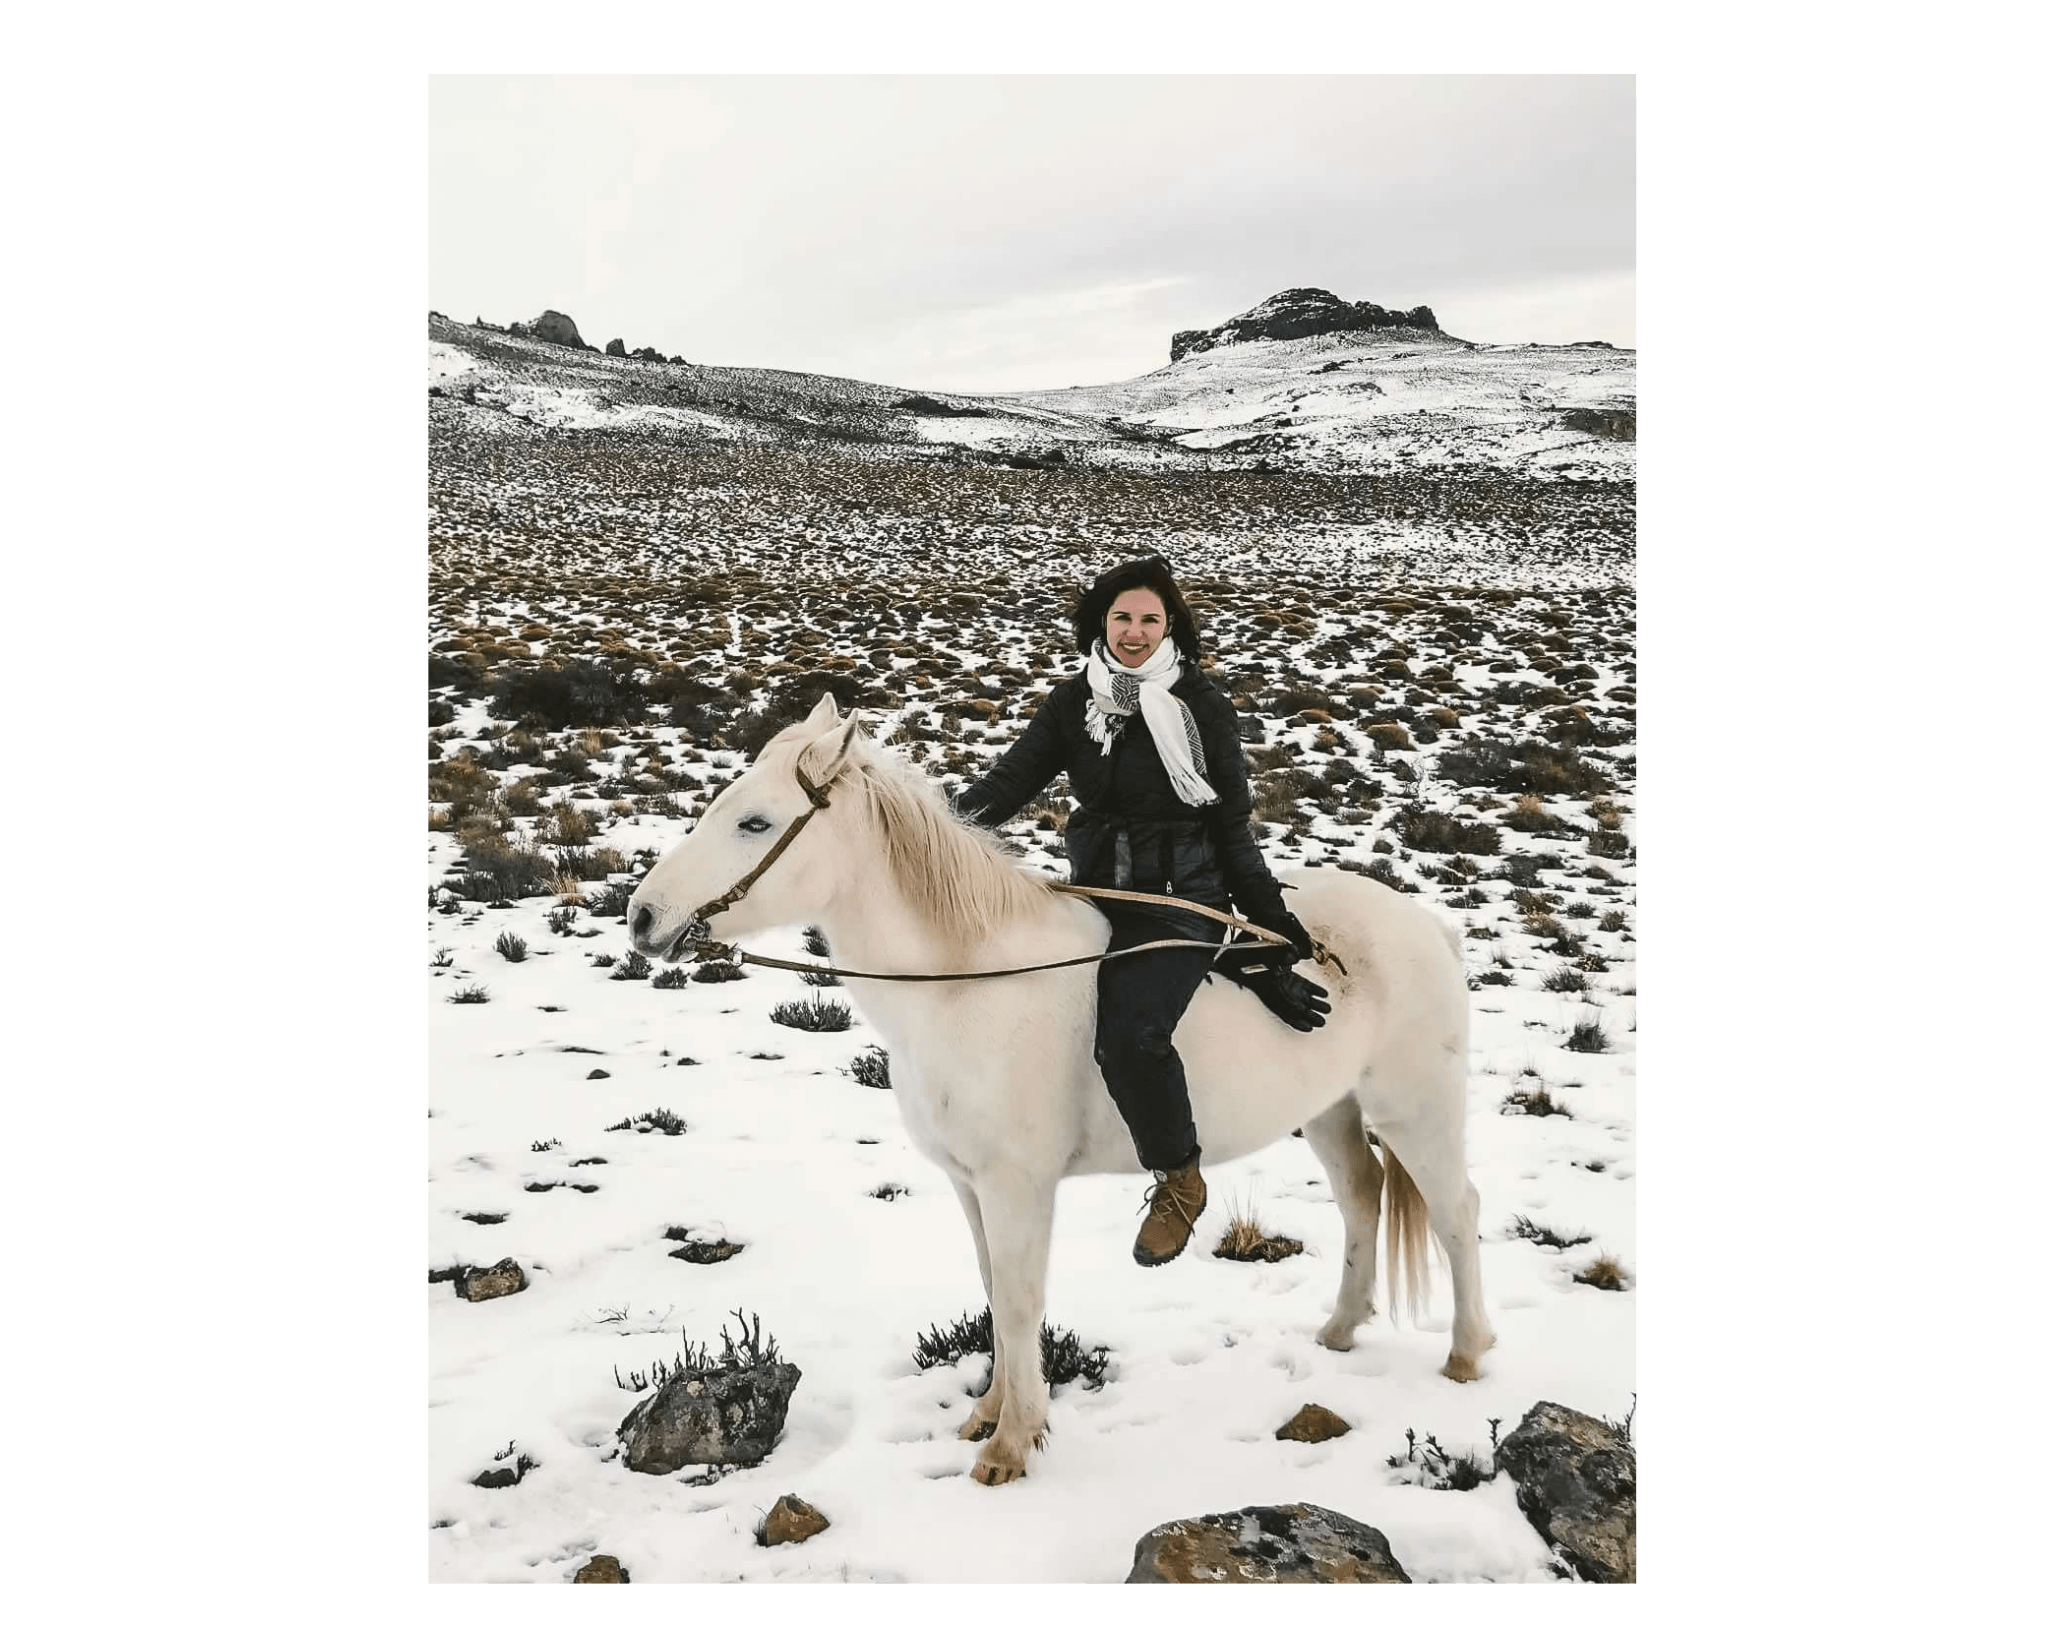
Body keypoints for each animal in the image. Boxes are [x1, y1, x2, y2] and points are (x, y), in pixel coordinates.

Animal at [622, 692, 1490, 1483]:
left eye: (755, 823)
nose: (642, 916)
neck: (963, 981)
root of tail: (1427, 924)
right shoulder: (971, 1185)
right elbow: (993, 1294)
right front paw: (989, 1412)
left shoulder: (1018, 1185)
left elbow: (1017, 1300)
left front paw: (1012, 1443)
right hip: (1332, 1110)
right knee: (1363, 1197)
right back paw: (1341, 1328)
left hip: (1416, 1106)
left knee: (1454, 1211)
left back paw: (1467, 1355)